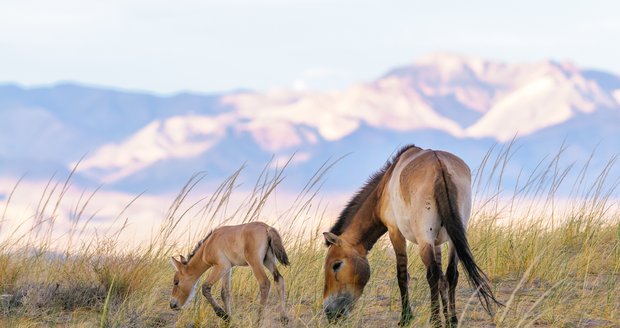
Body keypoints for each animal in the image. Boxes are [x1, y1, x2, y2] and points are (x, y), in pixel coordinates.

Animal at [322, 147, 502, 328]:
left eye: (336, 265)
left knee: (432, 274)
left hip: (424, 239)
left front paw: (406, 317)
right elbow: (442, 279)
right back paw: (452, 320)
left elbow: (402, 276)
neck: (384, 189)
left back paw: (435, 320)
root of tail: (439, 164)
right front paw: (446, 316)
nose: (329, 313)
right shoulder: (437, 242)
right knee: (451, 273)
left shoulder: (395, 232)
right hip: (454, 238)